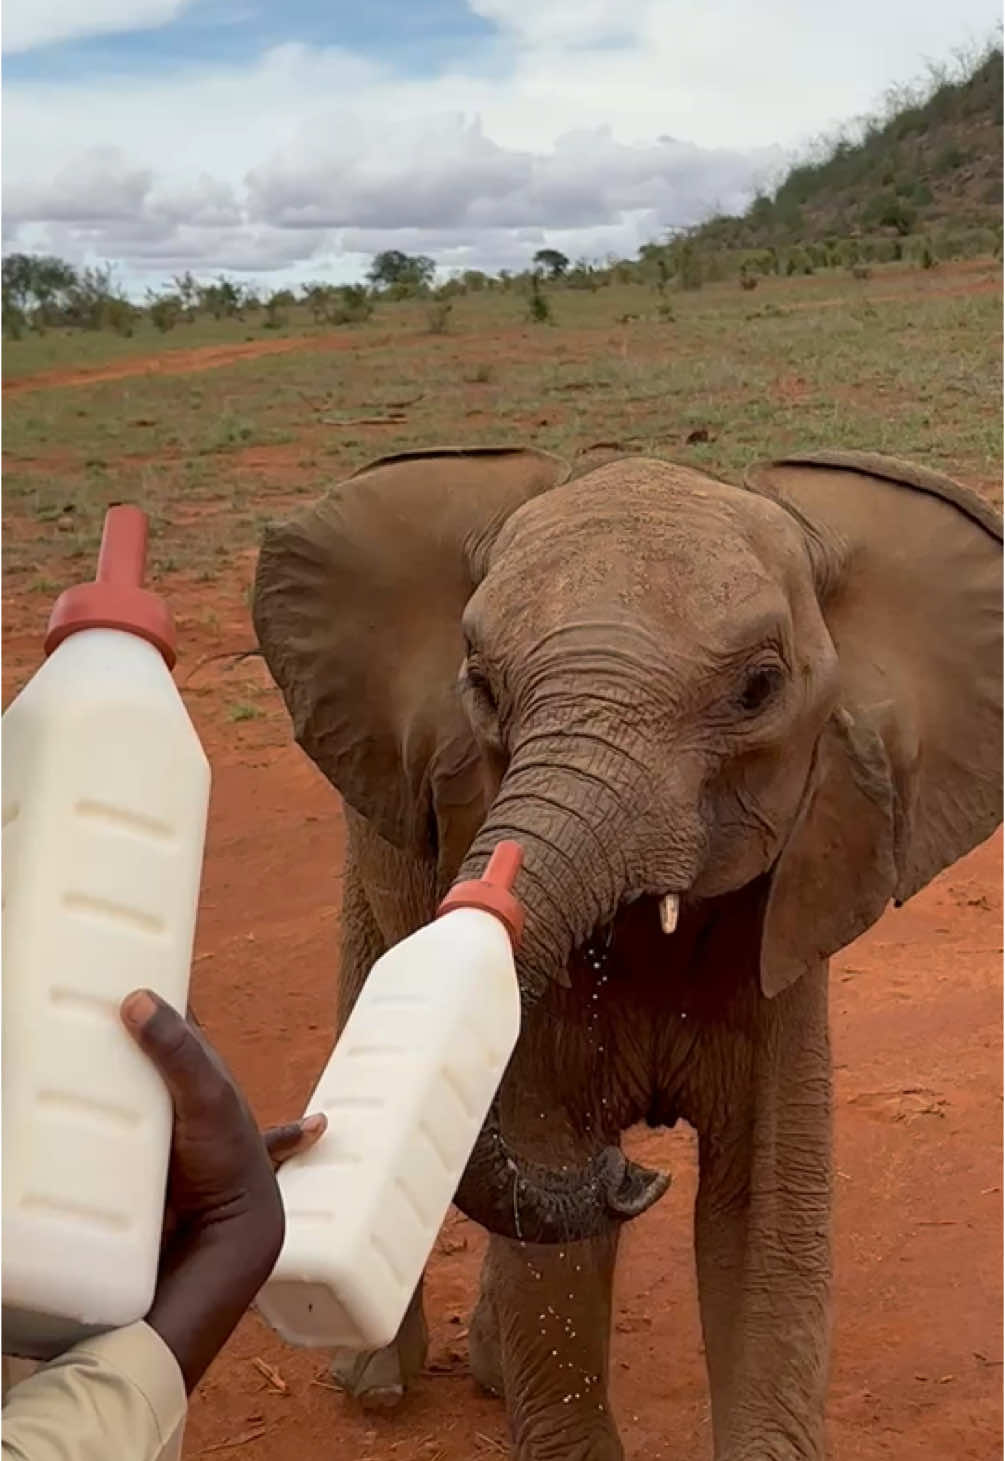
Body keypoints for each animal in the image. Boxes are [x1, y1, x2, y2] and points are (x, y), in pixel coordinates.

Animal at [252, 447, 999, 1461]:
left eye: (758, 688)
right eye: (480, 685)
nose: (631, 1173)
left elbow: (762, 1221)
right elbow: (556, 1230)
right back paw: (375, 1384)